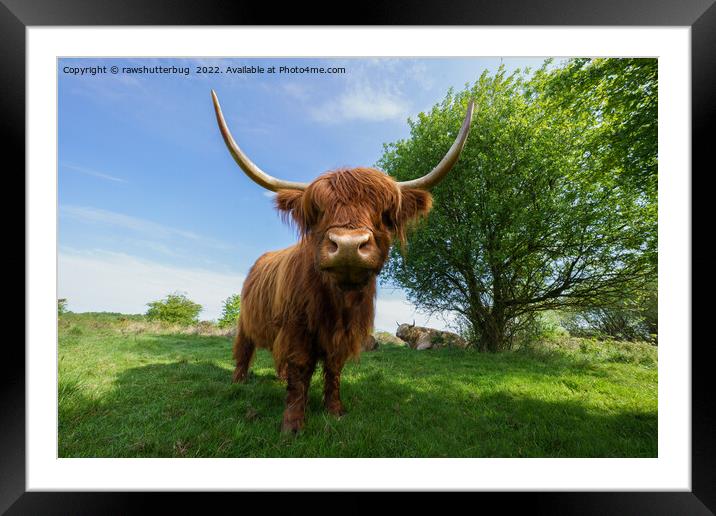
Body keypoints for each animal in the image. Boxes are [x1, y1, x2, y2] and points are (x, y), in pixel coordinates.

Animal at [210, 90, 472, 434]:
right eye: (318, 211)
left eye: (384, 214)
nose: (348, 245)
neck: (338, 302)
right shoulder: (296, 329)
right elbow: (300, 368)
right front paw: (292, 424)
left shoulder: (344, 335)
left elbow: (333, 369)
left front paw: (334, 410)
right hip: (245, 321)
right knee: (244, 349)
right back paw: (238, 381)